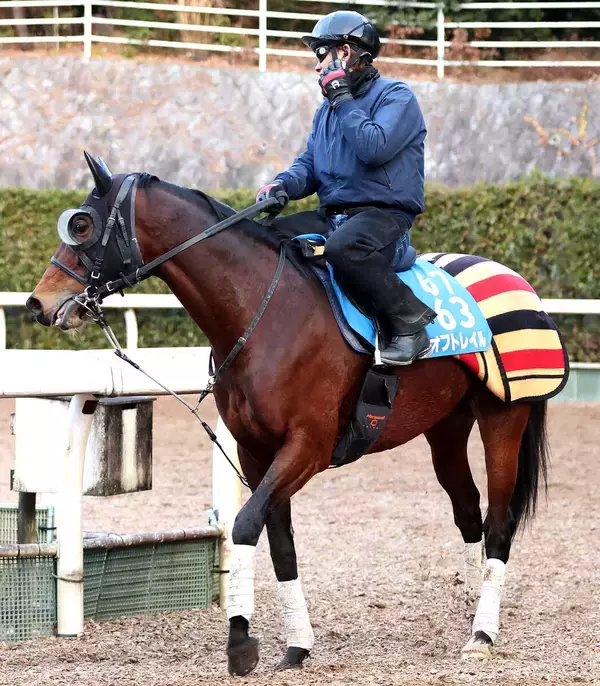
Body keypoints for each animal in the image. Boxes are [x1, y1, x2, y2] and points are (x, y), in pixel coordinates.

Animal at [27, 153, 553, 676]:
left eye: (81, 224)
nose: (38, 303)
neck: (266, 315)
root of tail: (519, 283)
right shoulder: (257, 451)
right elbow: (280, 543)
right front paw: (297, 646)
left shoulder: (307, 448)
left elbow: (244, 526)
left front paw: (240, 642)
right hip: (445, 429)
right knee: (468, 512)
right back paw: (470, 611)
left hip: (504, 420)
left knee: (499, 522)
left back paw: (482, 634)